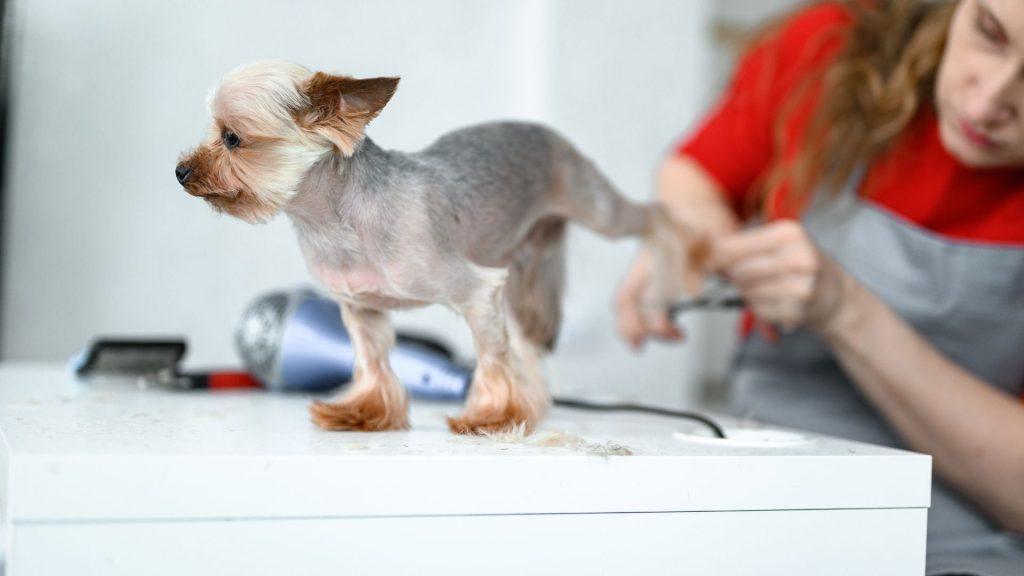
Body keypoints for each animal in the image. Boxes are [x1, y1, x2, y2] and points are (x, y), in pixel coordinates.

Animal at [176, 60, 696, 432]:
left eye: (232, 138)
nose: (180, 171)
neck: (335, 221)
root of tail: (542, 130)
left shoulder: (478, 292)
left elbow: (491, 357)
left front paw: (495, 416)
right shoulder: (359, 308)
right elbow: (372, 360)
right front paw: (364, 412)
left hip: (594, 204)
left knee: (652, 217)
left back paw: (682, 255)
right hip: (518, 259)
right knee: (527, 341)